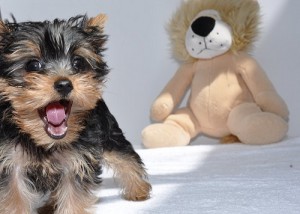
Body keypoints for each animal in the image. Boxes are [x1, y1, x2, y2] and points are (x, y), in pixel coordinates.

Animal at [0, 14, 151, 213]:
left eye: (78, 63)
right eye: (33, 64)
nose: (65, 84)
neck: (45, 143)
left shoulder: (78, 161)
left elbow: (73, 195)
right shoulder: (9, 162)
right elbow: (14, 195)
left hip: (108, 132)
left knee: (124, 155)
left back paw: (139, 188)